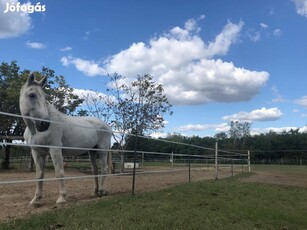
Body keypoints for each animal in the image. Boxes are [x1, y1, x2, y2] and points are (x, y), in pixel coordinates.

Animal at [18, 73, 112, 205]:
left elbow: (59, 172)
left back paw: (102, 191)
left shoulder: (55, 149)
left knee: (104, 169)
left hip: (102, 151)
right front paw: (35, 200)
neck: (35, 131)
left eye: (45, 97)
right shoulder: (37, 152)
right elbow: (39, 175)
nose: (44, 124)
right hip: (92, 152)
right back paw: (95, 192)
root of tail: (107, 126)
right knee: (95, 170)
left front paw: (61, 198)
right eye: (32, 95)